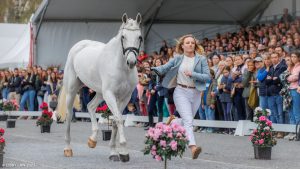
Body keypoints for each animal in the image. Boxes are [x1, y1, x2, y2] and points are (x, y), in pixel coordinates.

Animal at [56, 13, 142, 162]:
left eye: (139, 37)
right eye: (123, 37)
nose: (131, 62)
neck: (121, 67)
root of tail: (78, 46)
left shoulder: (125, 97)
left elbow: (115, 121)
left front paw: (114, 152)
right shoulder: (110, 94)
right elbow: (118, 119)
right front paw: (124, 151)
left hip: (100, 93)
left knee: (90, 106)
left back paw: (92, 140)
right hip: (73, 90)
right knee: (69, 114)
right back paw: (68, 149)